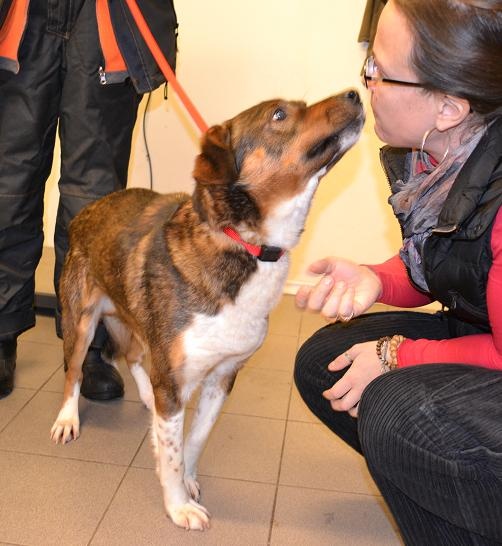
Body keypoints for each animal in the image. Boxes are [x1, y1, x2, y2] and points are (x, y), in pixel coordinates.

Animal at [50, 90, 364, 530]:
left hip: (138, 324)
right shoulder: (174, 379)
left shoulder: (222, 376)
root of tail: (88, 209)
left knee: (133, 357)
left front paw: (186, 479)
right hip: (80, 321)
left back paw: (145, 398)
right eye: (279, 115)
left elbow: (193, 441)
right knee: (74, 372)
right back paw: (67, 419)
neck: (245, 244)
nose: (355, 93)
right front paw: (178, 504)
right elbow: (171, 452)